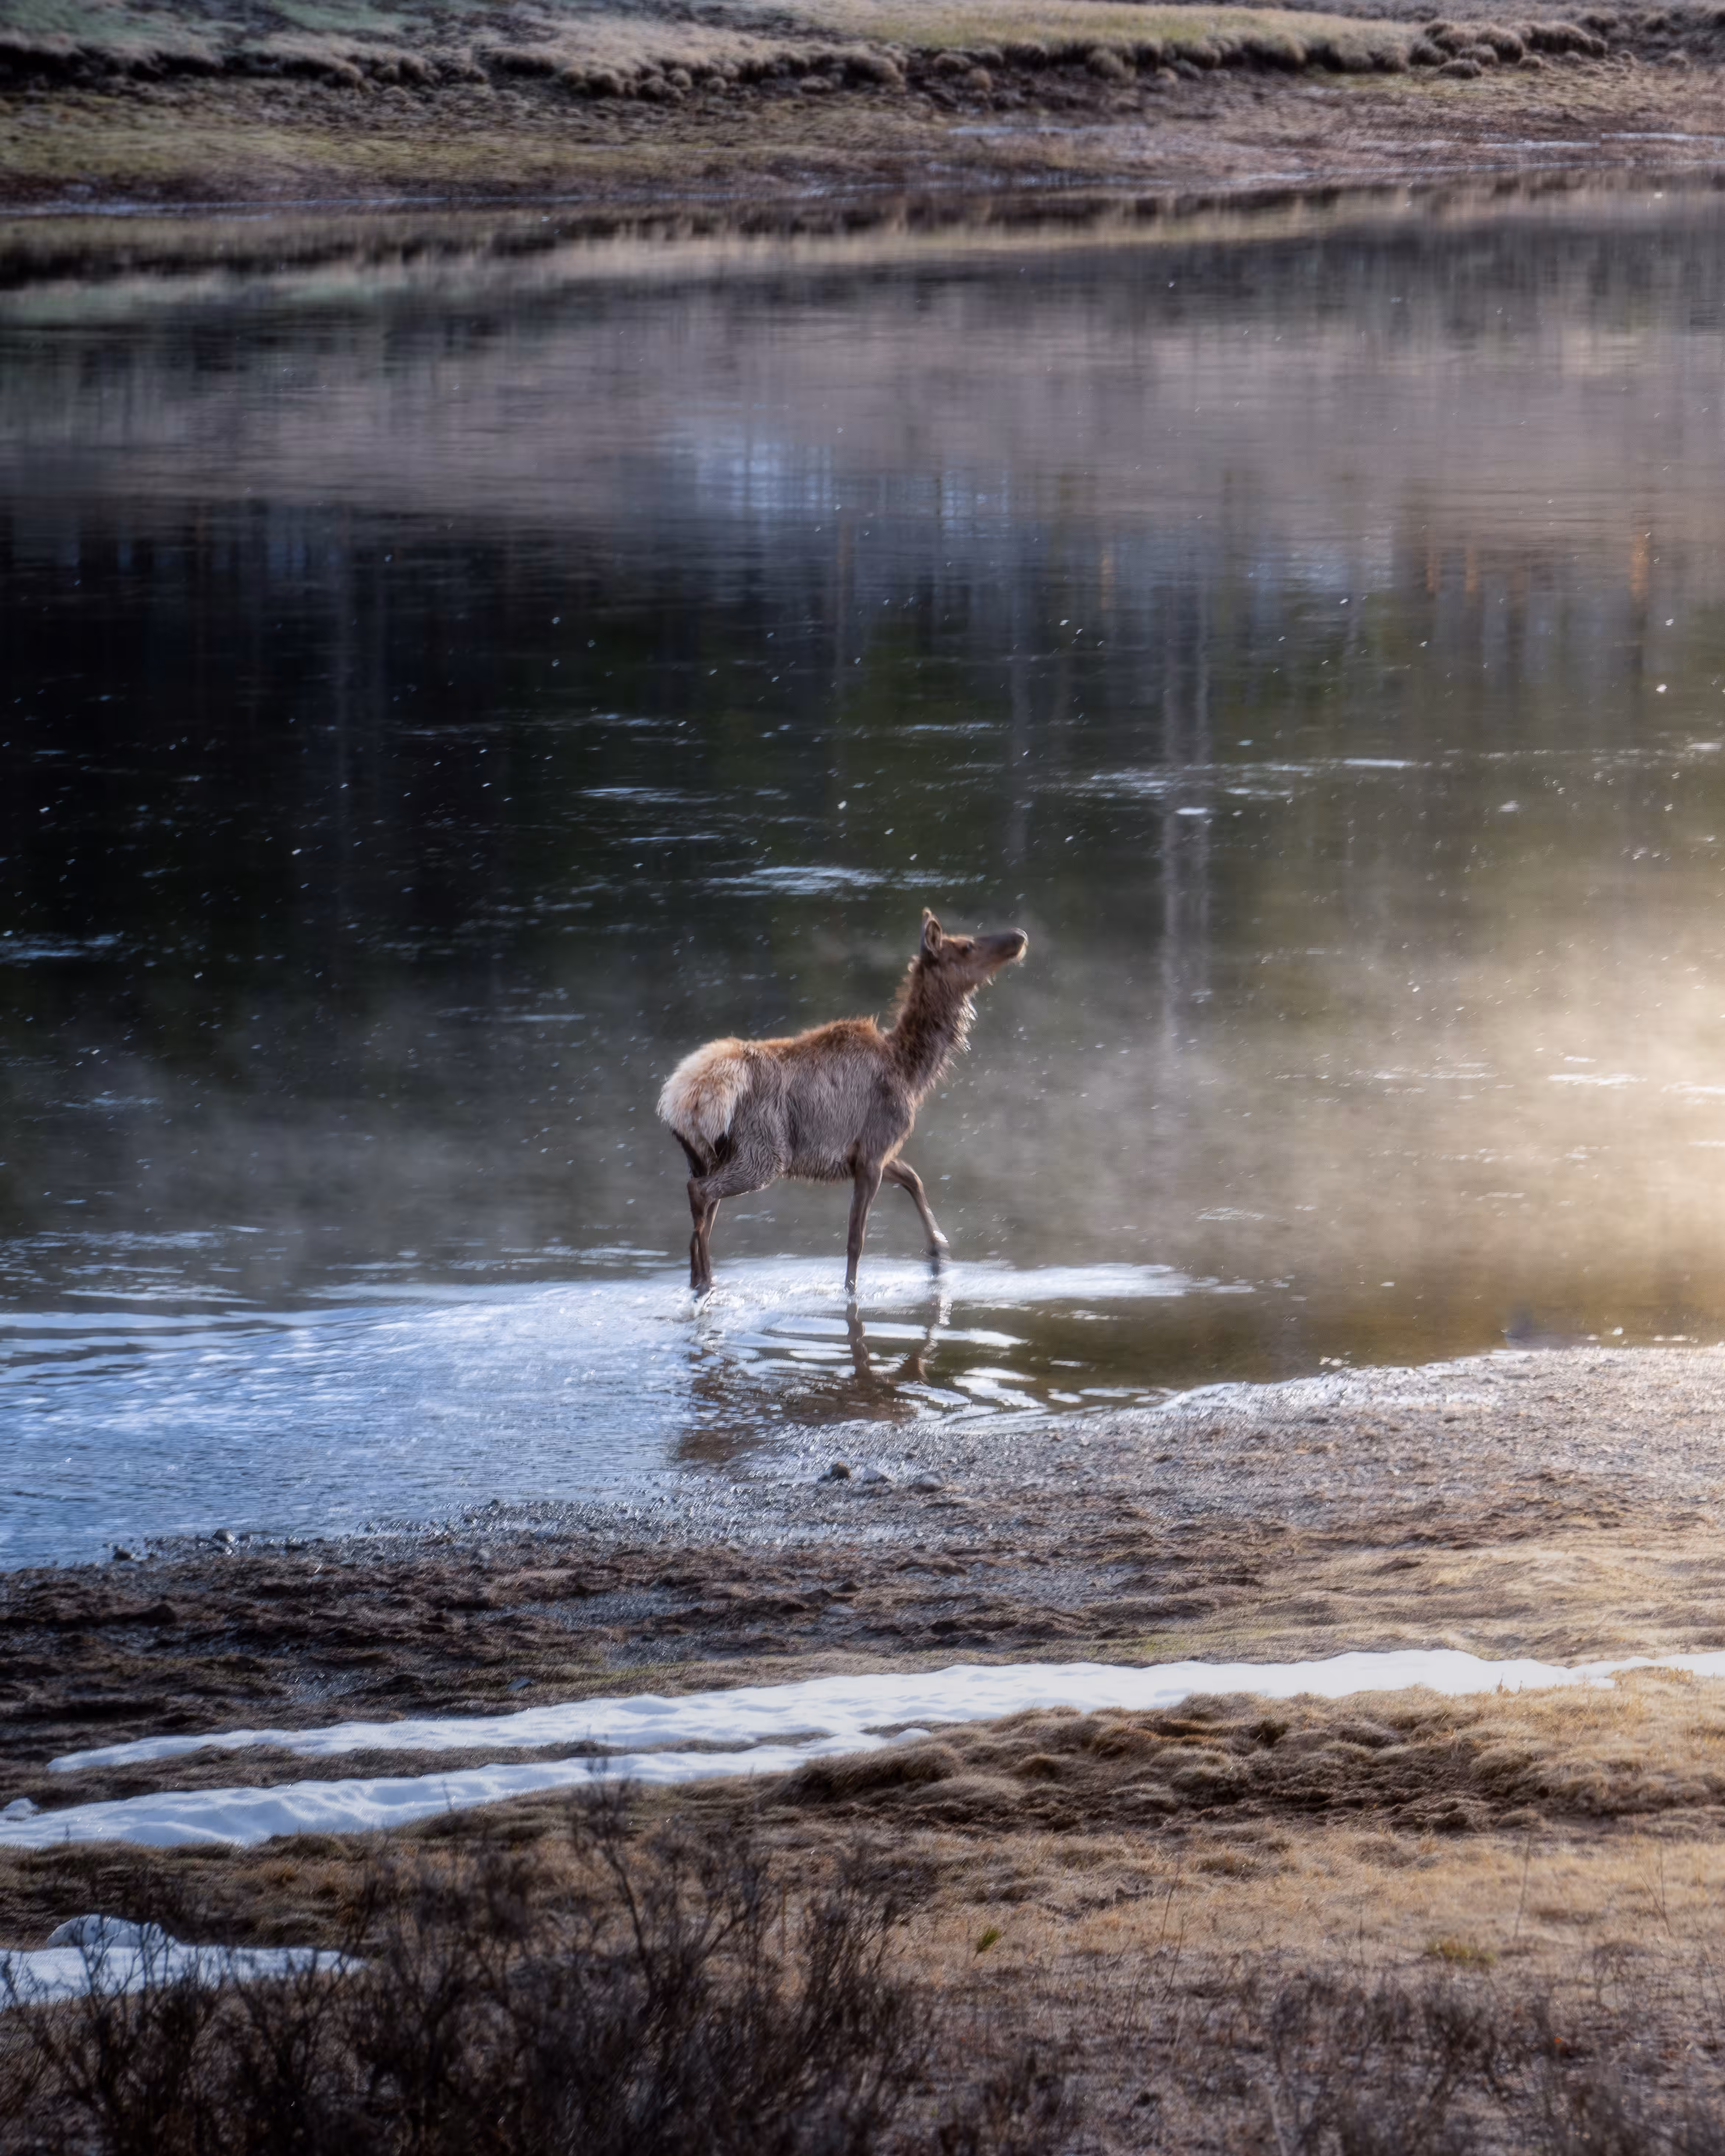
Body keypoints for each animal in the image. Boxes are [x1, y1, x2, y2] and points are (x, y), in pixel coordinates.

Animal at [657, 910, 1028, 1299]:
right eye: (967, 946)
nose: (1018, 937)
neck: (912, 1073)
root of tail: (681, 1100)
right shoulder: (874, 1150)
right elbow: (856, 1239)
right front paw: (852, 1290)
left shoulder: (865, 1154)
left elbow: (912, 1177)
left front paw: (938, 1253)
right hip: (762, 1152)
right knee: (701, 1194)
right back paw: (705, 1280)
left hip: (706, 1156)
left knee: (702, 1211)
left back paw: (699, 1279)